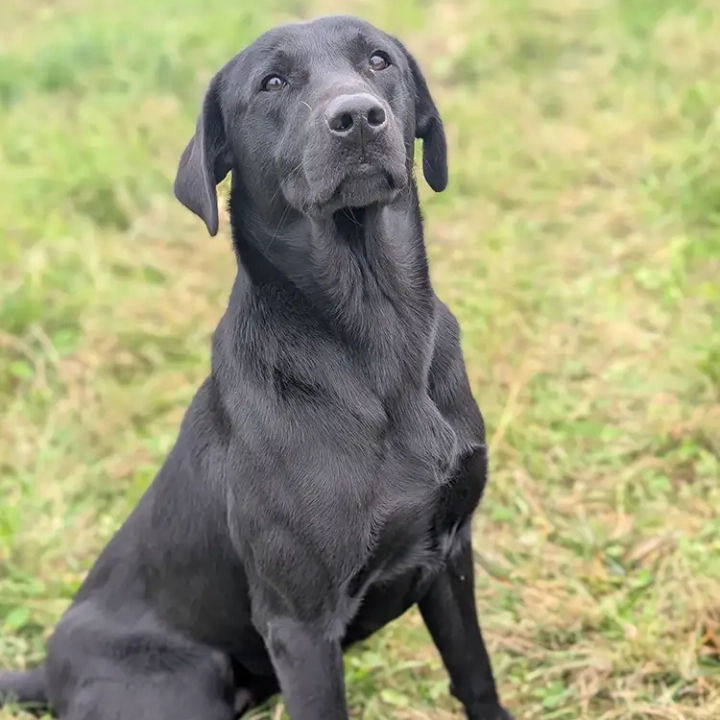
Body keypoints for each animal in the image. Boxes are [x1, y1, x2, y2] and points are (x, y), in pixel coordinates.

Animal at [2, 16, 516, 720]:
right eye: (272, 83)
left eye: (378, 61)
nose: (359, 117)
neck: (375, 333)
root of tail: (47, 674)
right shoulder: (300, 621)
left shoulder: (449, 552)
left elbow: (475, 673)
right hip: (179, 688)